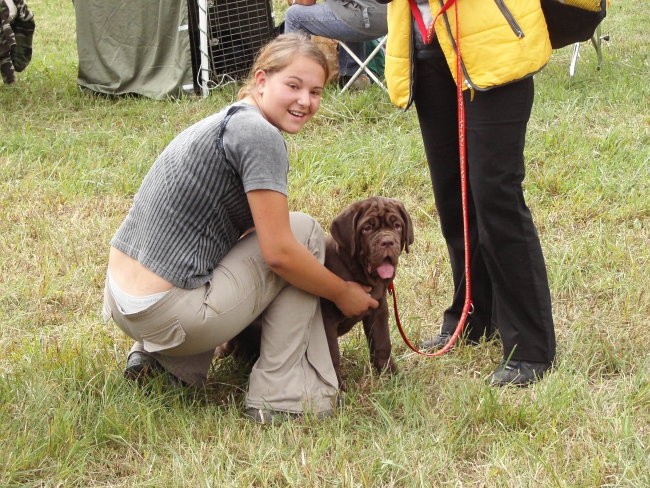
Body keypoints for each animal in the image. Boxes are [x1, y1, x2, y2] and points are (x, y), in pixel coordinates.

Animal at [215, 196, 412, 386]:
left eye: (397, 226)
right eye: (367, 228)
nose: (388, 242)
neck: (357, 272)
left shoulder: (378, 310)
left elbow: (382, 343)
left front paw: (391, 375)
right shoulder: (327, 319)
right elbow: (332, 355)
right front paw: (338, 388)